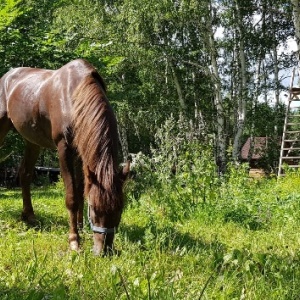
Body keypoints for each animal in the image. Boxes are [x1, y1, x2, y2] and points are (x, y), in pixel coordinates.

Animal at [0, 59, 128, 255]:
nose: (104, 250)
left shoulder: (81, 153)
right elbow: (72, 197)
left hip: (32, 141)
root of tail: (7, 76)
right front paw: (74, 240)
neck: (74, 95)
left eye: (120, 209)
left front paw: (81, 227)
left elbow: (82, 190)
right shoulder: (64, 149)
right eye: (95, 209)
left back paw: (29, 216)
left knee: (25, 174)